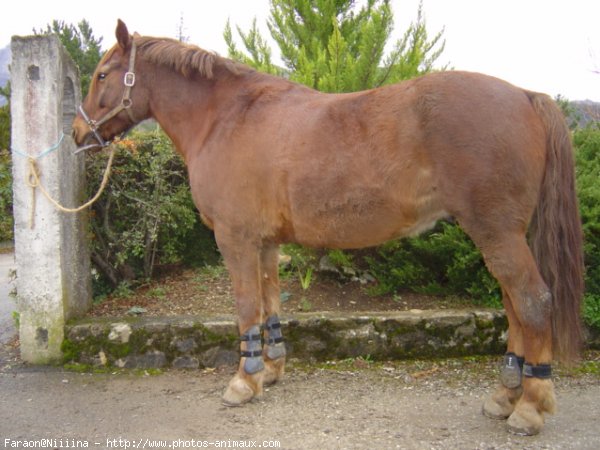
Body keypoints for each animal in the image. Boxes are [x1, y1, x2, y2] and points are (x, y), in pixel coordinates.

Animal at [72, 21, 584, 436]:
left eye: (102, 75)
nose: (78, 133)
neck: (227, 118)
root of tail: (525, 95)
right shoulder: (265, 244)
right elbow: (269, 304)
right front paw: (271, 370)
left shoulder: (235, 240)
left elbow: (245, 307)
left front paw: (243, 381)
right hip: (501, 236)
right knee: (515, 307)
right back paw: (505, 396)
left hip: (496, 233)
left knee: (532, 303)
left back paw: (530, 407)